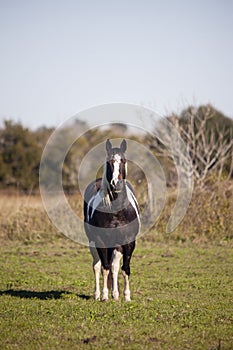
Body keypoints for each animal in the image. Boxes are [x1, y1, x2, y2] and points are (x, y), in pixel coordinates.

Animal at [83, 139, 140, 300]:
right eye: (109, 162)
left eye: (123, 160)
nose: (116, 183)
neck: (116, 212)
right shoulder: (100, 241)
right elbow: (104, 268)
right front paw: (104, 296)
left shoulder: (128, 242)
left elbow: (124, 269)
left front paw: (126, 296)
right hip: (93, 242)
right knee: (97, 266)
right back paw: (98, 294)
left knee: (114, 267)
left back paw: (116, 294)